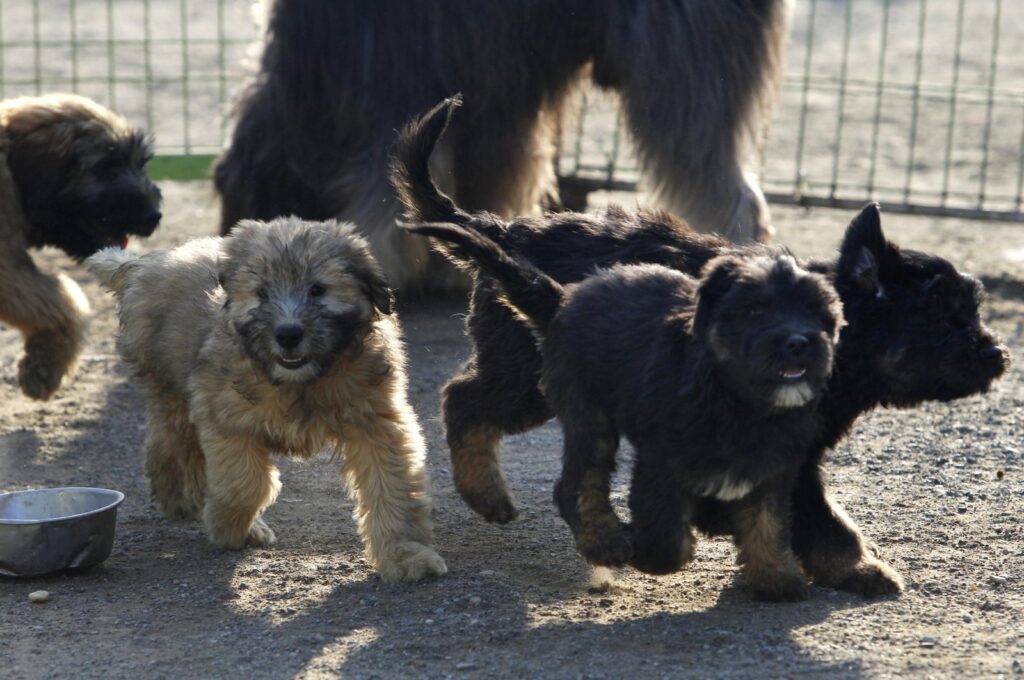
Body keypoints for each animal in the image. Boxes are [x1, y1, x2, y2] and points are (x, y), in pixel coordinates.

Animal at [0, 91, 161, 399]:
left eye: (141, 164)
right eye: (105, 168)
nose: (154, 215)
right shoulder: (7, 267)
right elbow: (59, 299)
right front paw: (46, 365)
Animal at [90, 219, 450, 585]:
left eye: (318, 289)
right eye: (261, 292)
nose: (288, 334)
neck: (303, 383)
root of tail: (143, 267)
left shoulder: (376, 422)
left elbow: (392, 486)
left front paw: (405, 554)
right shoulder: (224, 417)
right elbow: (246, 482)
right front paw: (229, 527)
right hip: (170, 391)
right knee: (169, 444)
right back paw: (179, 498)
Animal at [407, 219, 847, 602]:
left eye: (817, 312)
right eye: (755, 310)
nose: (797, 342)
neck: (738, 401)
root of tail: (564, 297)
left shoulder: (774, 471)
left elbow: (768, 524)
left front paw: (777, 578)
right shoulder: (661, 462)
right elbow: (665, 535)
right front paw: (648, 552)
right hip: (581, 411)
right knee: (572, 481)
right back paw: (604, 540)